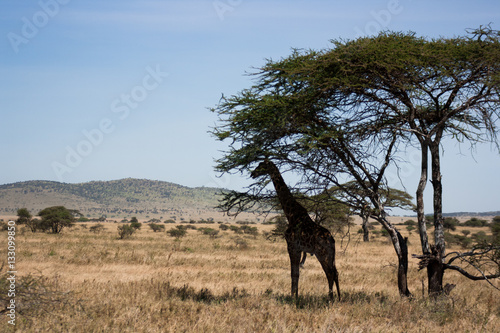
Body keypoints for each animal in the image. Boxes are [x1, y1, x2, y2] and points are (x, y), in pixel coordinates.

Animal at [250, 160, 340, 300]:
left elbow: (294, 273)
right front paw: (295, 296)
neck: (291, 214)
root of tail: (332, 239)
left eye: (262, 165)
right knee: (335, 272)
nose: (252, 173)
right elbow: (296, 273)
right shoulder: (298, 249)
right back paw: (338, 298)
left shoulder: (291, 246)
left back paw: (330, 298)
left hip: (322, 253)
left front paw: (293, 297)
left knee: (329, 273)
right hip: (330, 254)